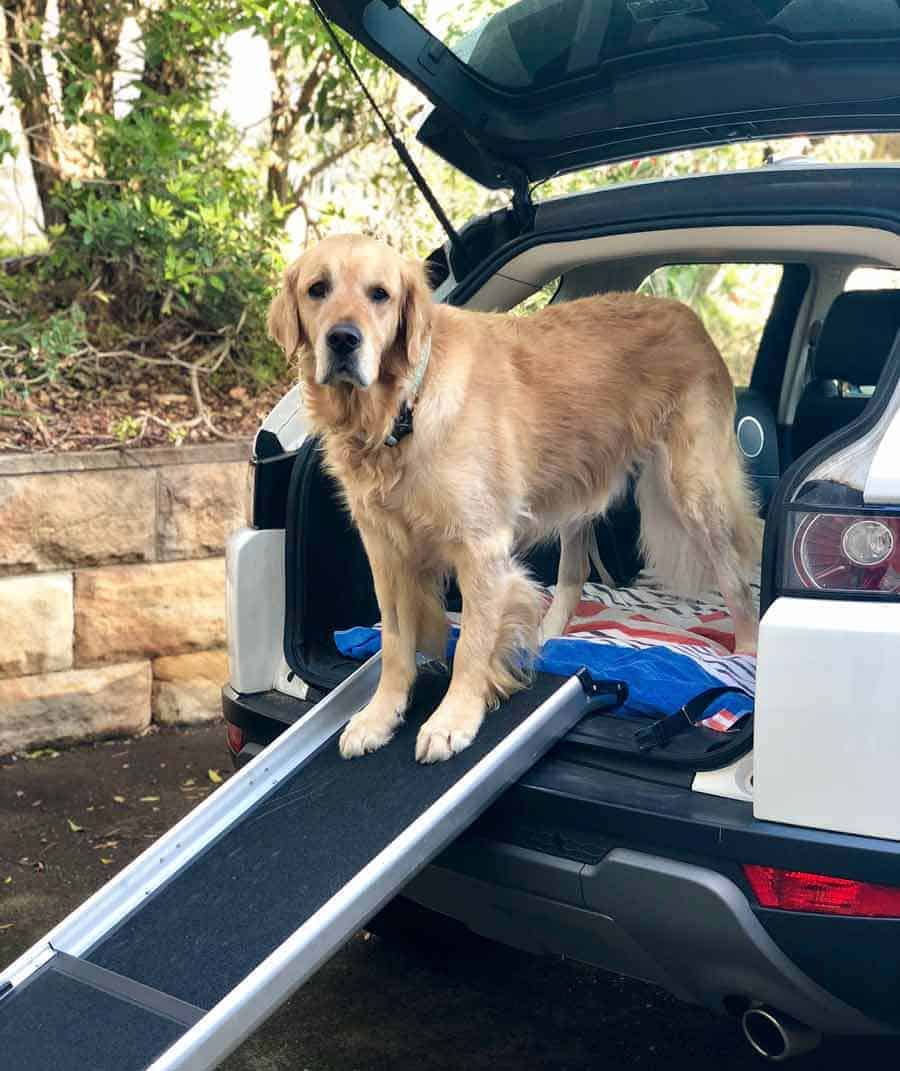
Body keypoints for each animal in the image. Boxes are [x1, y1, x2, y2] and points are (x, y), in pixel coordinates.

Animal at [266, 238, 758, 766]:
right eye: (318, 289)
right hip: (579, 486)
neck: (402, 411)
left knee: (737, 582)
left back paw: (748, 658)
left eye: (379, 294)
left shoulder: (481, 547)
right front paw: (380, 716)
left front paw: (454, 719)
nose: (342, 340)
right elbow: (396, 643)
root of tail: (687, 315)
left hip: (694, 489)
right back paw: (547, 636)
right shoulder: (385, 549)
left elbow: (472, 642)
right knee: (574, 574)